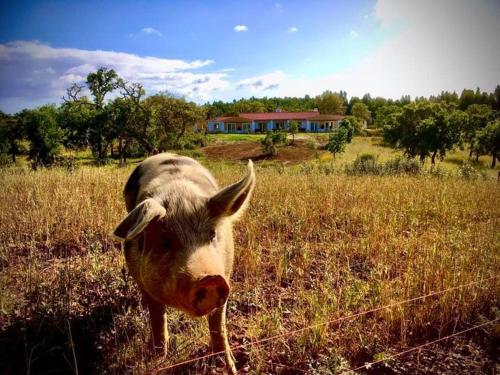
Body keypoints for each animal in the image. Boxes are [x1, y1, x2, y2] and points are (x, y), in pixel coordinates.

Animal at [113, 153, 254, 375]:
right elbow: (157, 317)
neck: (180, 194)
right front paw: (158, 359)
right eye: (165, 241)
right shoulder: (142, 280)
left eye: (212, 234)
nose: (210, 279)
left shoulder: (226, 275)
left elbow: (218, 327)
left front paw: (231, 366)